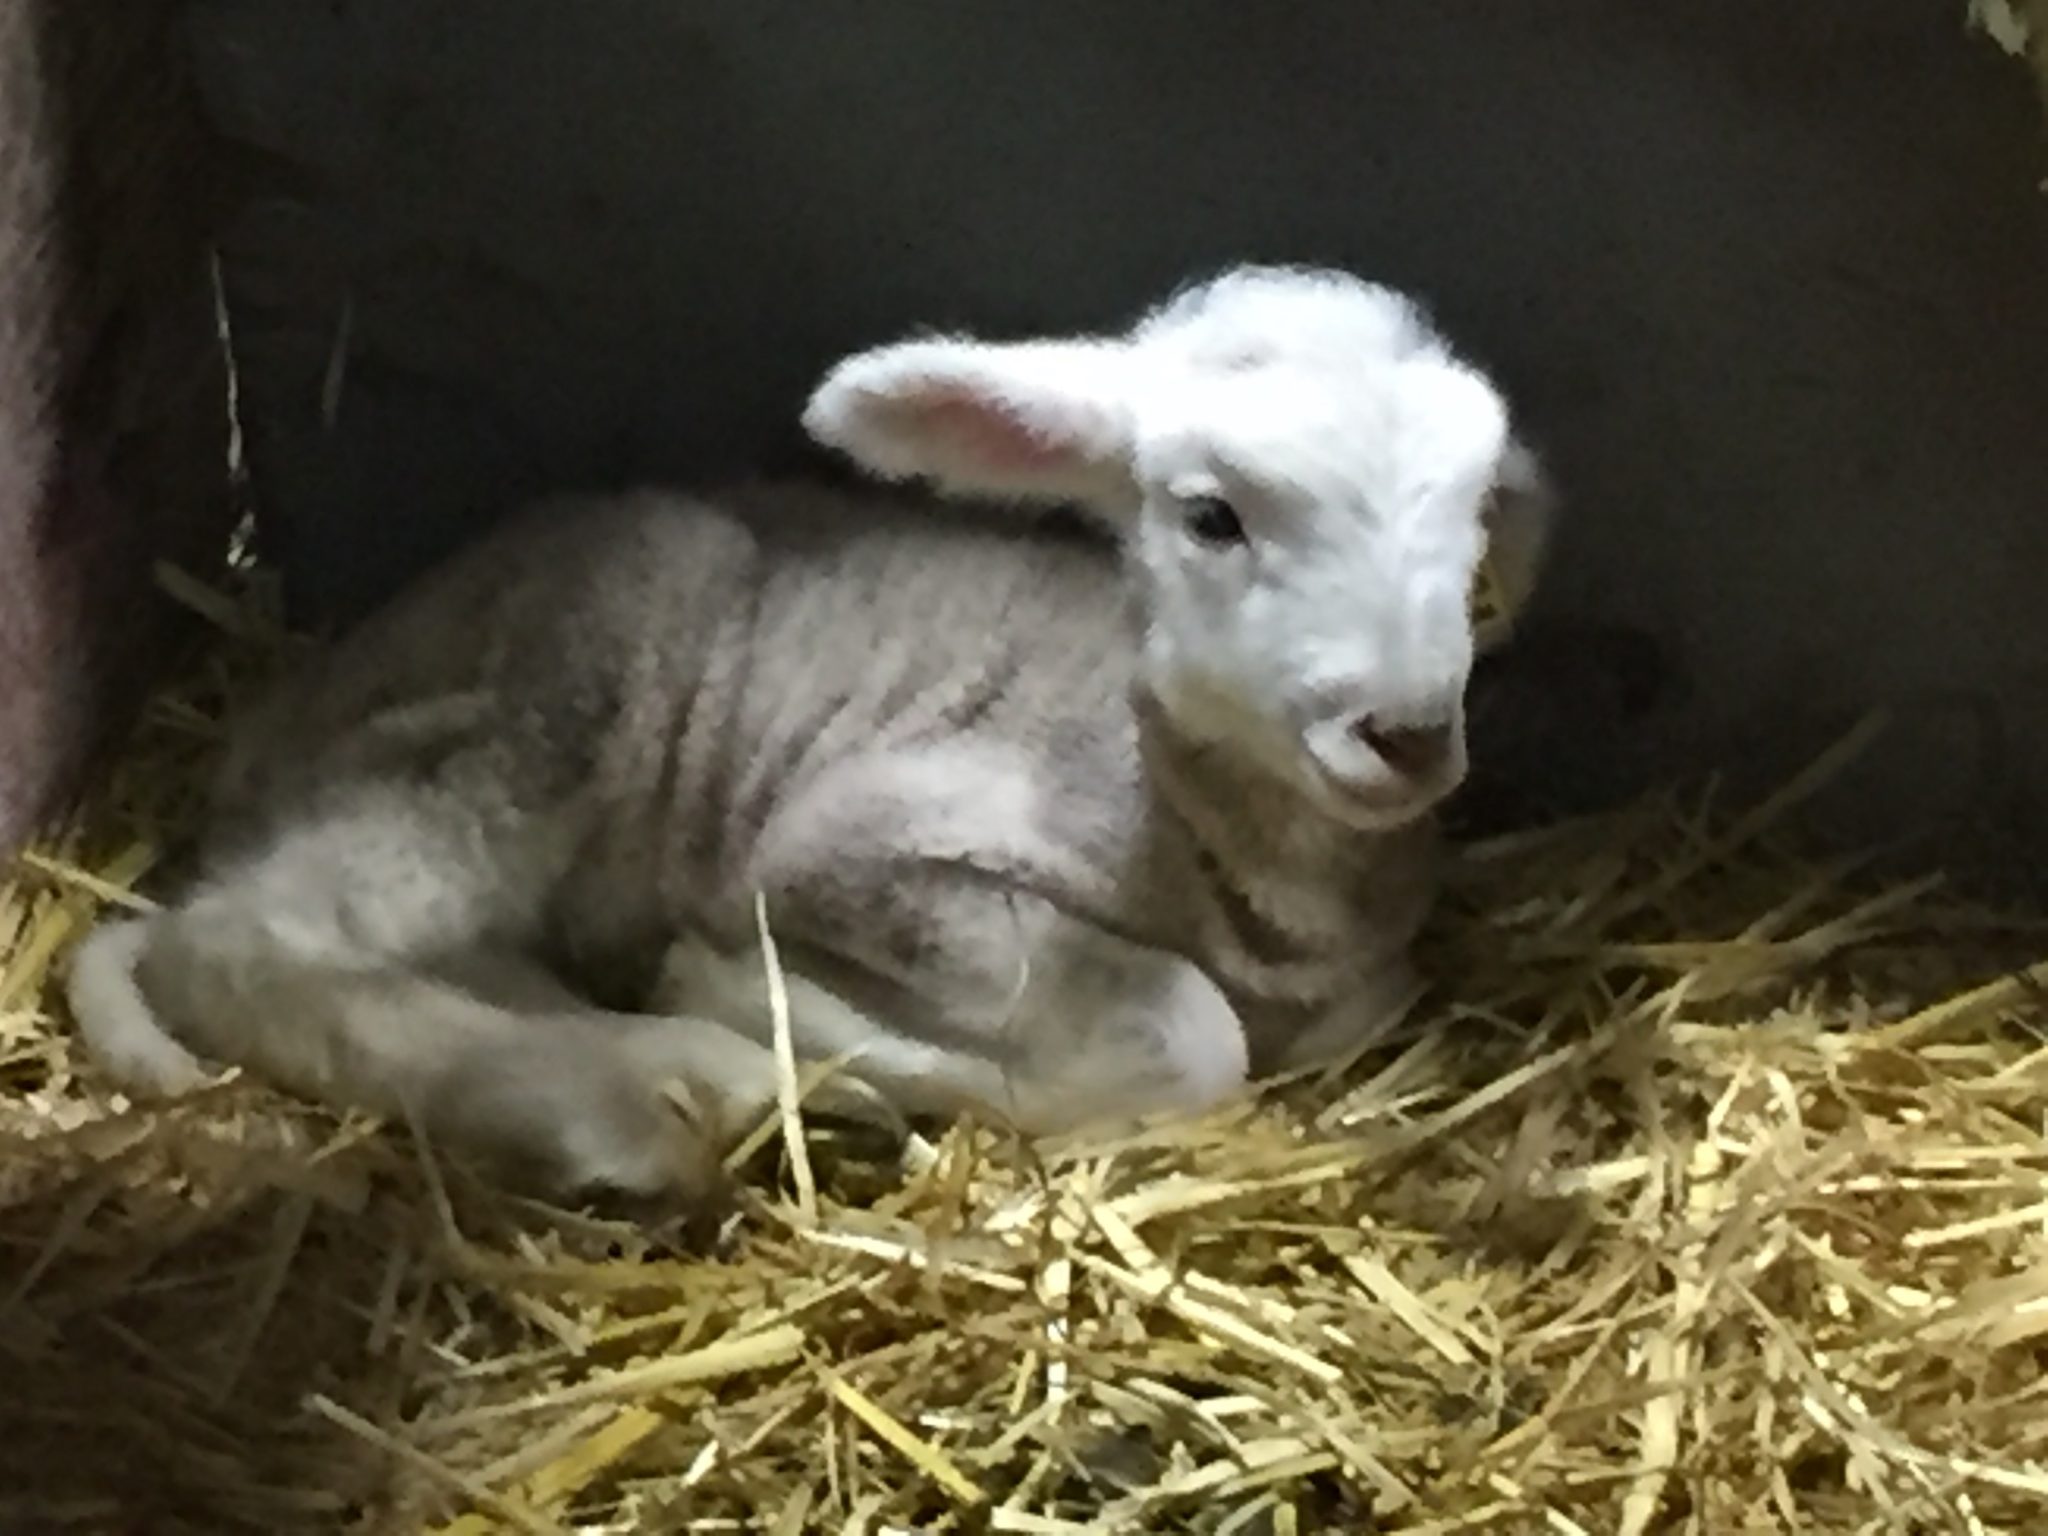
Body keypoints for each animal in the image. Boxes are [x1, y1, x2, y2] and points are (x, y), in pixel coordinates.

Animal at [72, 270, 1556, 1220]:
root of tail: (274, 720)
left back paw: (684, 1069)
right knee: (238, 943)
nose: (1405, 734)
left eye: (1476, 515)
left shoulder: (1362, 980)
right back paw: (608, 1104)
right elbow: (1192, 1038)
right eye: (1210, 516)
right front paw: (774, 1001)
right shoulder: (857, 842)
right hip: (543, 710)